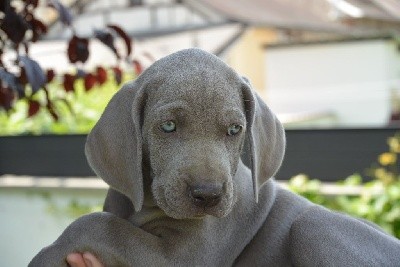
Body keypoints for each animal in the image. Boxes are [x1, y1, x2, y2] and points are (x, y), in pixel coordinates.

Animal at [30, 49, 400, 266]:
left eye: (235, 130)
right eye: (168, 126)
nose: (207, 195)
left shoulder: (188, 257)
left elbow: (98, 224)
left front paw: (46, 256)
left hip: (313, 226)